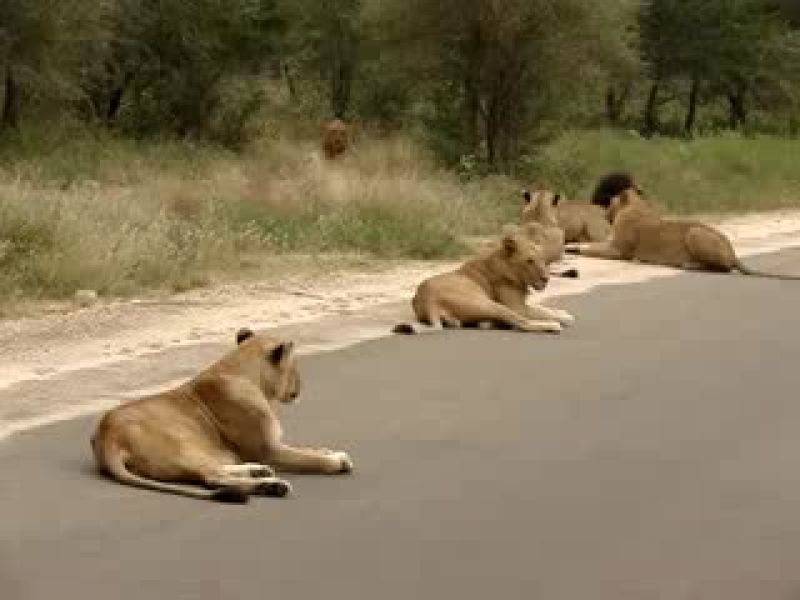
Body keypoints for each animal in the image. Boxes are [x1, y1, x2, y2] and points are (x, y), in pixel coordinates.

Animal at [91, 329, 353, 503]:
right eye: (295, 366)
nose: (301, 386)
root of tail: (107, 437)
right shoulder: (268, 449)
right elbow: (309, 458)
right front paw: (336, 462)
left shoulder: (273, 445)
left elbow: (308, 449)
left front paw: (330, 452)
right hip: (184, 446)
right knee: (212, 477)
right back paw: (272, 486)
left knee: (216, 470)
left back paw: (259, 472)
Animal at [393, 227, 574, 335]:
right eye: (529, 261)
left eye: (542, 259)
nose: (546, 279)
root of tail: (428, 301)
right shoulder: (517, 307)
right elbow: (539, 311)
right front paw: (564, 318)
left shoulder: (521, 305)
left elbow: (544, 307)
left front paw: (563, 313)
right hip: (489, 304)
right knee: (522, 323)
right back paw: (552, 326)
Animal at [566, 188, 800, 280]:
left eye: (611, 202)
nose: (604, 212)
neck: (636, 205)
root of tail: (733, 252)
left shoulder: (619, 251)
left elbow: (590, 250)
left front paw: (574, 250)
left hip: (695, 233)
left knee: (722, 269)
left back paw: (689, 265)